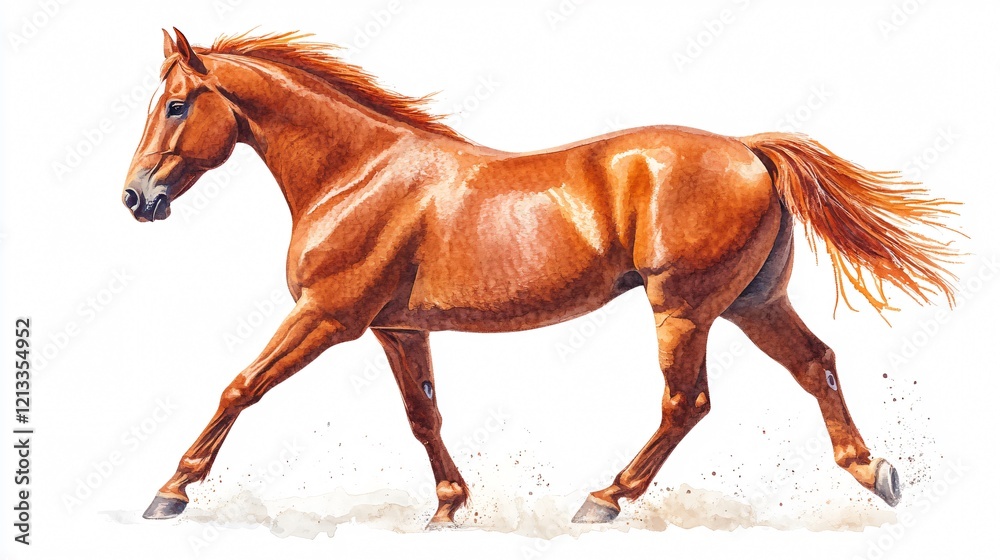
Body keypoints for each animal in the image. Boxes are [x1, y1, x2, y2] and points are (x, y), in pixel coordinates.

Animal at [124, 29, 959, 525]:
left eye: (176, 105)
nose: (136, 198)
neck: (358, 173)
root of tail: (750, 150)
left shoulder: (327, 318)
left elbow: (240, 387)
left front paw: (170, 492)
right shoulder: (398, 328)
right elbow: (423, 415)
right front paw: (449, 508)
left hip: (684, 309)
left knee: (686, 403)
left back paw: (604, 500)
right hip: (754, 303)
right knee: (816, 364)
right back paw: (875, 473)